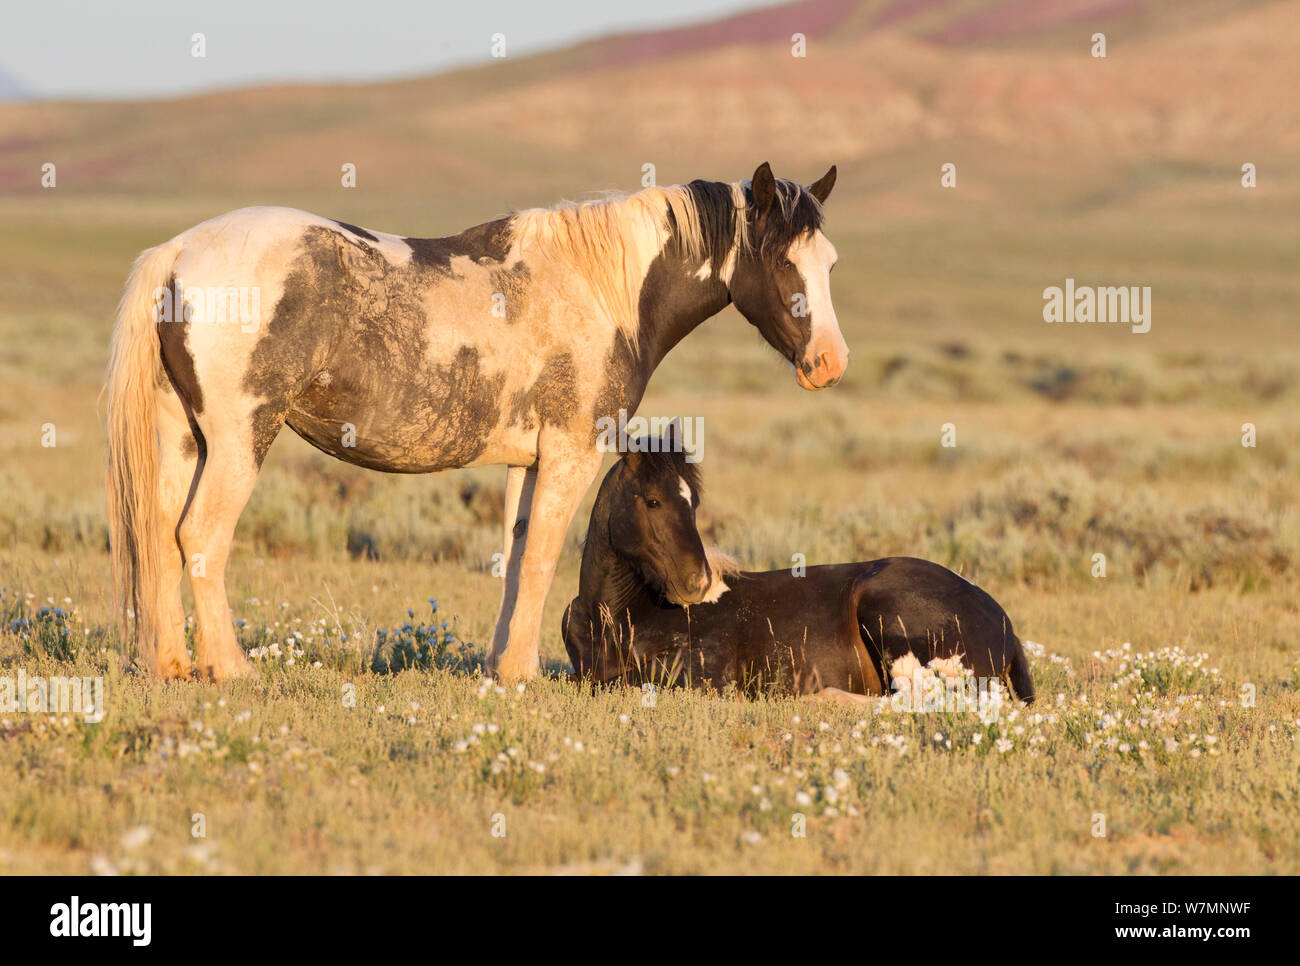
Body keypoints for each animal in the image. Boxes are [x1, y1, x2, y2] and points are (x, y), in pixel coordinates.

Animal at [104, 162, 848, 682]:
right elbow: (544, 558)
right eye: (781, 258)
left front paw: (500, 666)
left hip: (184, 439)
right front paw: (521, 673)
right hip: (238, 441)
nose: (830, 363)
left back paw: (171, 665)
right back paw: (229, 668)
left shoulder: (529, 461)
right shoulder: (571, 453)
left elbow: (516, 561)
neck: (599, 289)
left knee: (160, 534)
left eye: (831, 262)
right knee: (200, 536)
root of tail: (177, 254)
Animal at [560, 432, 1035, 704]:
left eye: (692, 503)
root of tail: (1003, 620)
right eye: (653, 501)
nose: (697, 582)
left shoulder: (699, 677)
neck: (616, 615)